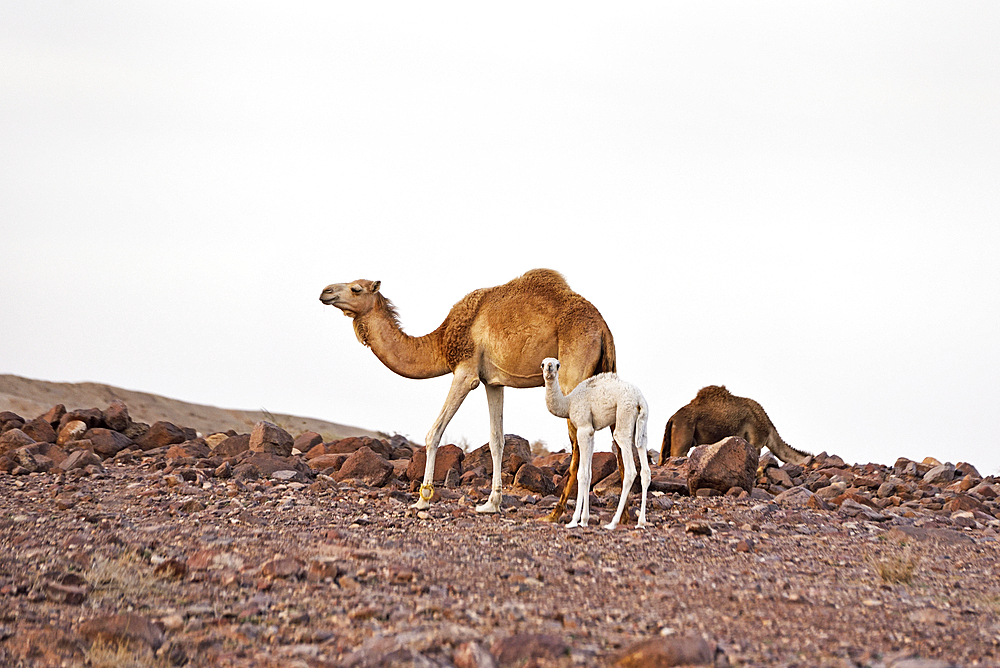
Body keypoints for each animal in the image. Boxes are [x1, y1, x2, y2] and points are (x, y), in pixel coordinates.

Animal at [320, 268, 616, 520]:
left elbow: (434, 433)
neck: (441, 342)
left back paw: (558, 513)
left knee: (580, 443)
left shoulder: (466, 372)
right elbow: (497, 441)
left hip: (572, 374)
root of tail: (603, 328)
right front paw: (491, 504)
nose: (325, 291)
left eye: (356, 288)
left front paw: (423, 500)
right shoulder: (493, 382)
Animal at [544, 358, 652, 528]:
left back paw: (613, 523)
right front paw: (584, 520)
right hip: (641, 425)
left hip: (624, 414)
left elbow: (582, 474)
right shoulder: (591, 432)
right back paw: (641, 523)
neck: (568, 403)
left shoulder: (583, 428)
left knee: (629, 469)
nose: (549, 367)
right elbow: (589, 473)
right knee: (645, 469)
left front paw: (574, 521)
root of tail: (639, 398)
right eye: (542, 364)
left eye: (557, 364)